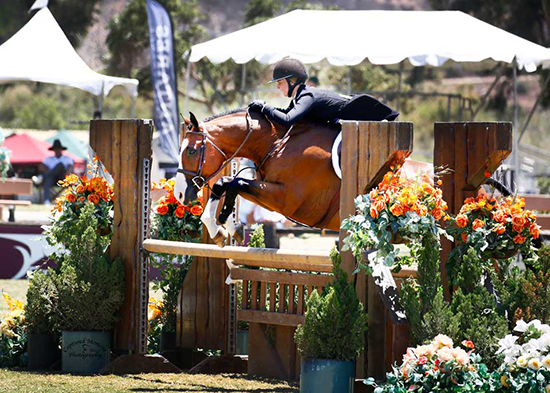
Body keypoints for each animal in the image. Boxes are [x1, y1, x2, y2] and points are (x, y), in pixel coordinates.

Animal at [176, 107, 344, 247]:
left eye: (191, 151)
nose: (179, 195)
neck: (278, 143)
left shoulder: (285, 199)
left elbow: (236, 183)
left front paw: (224, 221)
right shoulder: (266, 193)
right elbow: (226, 182)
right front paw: (225, 228)